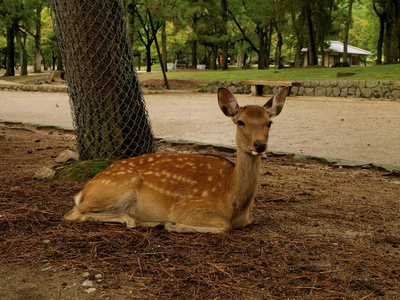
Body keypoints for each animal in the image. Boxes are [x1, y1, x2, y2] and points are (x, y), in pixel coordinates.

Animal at [64, 87, 288, 234]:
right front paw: (172, 225)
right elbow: (225, 225)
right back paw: (136, 220)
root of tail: (83, 191)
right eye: (240, 121)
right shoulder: (187, 207)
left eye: (269, 122)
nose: (260, 144)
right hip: (120, 185)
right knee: (74, 213)